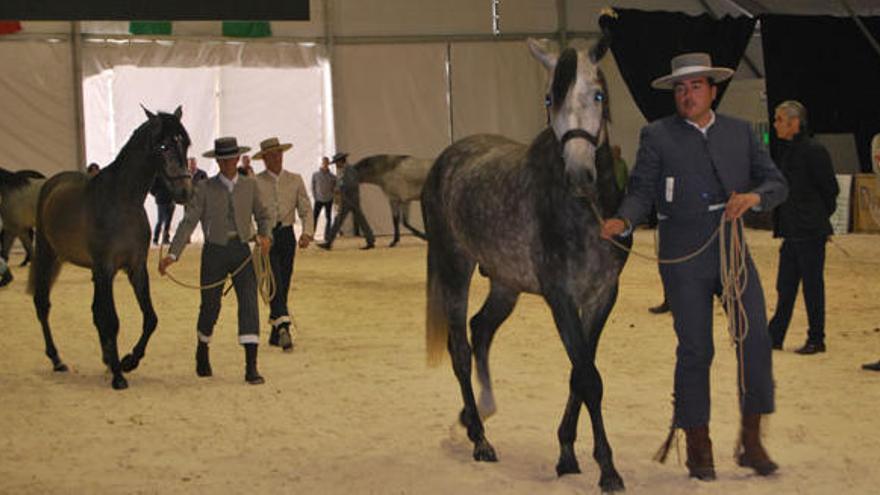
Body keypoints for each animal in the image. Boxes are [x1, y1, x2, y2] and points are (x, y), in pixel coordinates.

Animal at [28, 107, 192, 392]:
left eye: (185, 143)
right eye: (163, 146)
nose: (184, 191)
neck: (122, 202)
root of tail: (51, 184)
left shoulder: (135, 268)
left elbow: (150, 318)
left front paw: (128, 361)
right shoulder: (106, 268)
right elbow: (112, 320)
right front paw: (119, 375)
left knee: (95, 312)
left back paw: (106, 358)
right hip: (48, 255)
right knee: (43, 304)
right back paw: (57, 359)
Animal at [422, 37, 628, 492]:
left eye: (598, 94)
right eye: (550, 98)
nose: (579, 174)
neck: (583, 212)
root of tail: (444, 160)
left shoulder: (603, 295)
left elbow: (580, 373)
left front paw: (567, 452)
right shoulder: (560, 296)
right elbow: (589, 378)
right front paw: (608, 468)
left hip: (505, 283)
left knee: (481, 329)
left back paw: (478, 411)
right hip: (454, 267)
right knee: (461, 348)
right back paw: (480, 438)